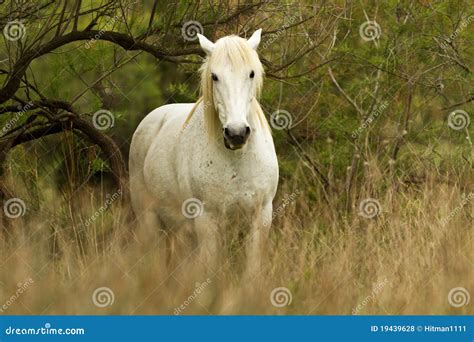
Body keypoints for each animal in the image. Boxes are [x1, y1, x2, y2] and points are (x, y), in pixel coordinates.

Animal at [128, 28, 280, 276]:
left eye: (251, 73)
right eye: (214, 76)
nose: (236, 133)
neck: (237, 161)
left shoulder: (261, 217)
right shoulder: (207, 220)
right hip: (149, 219)